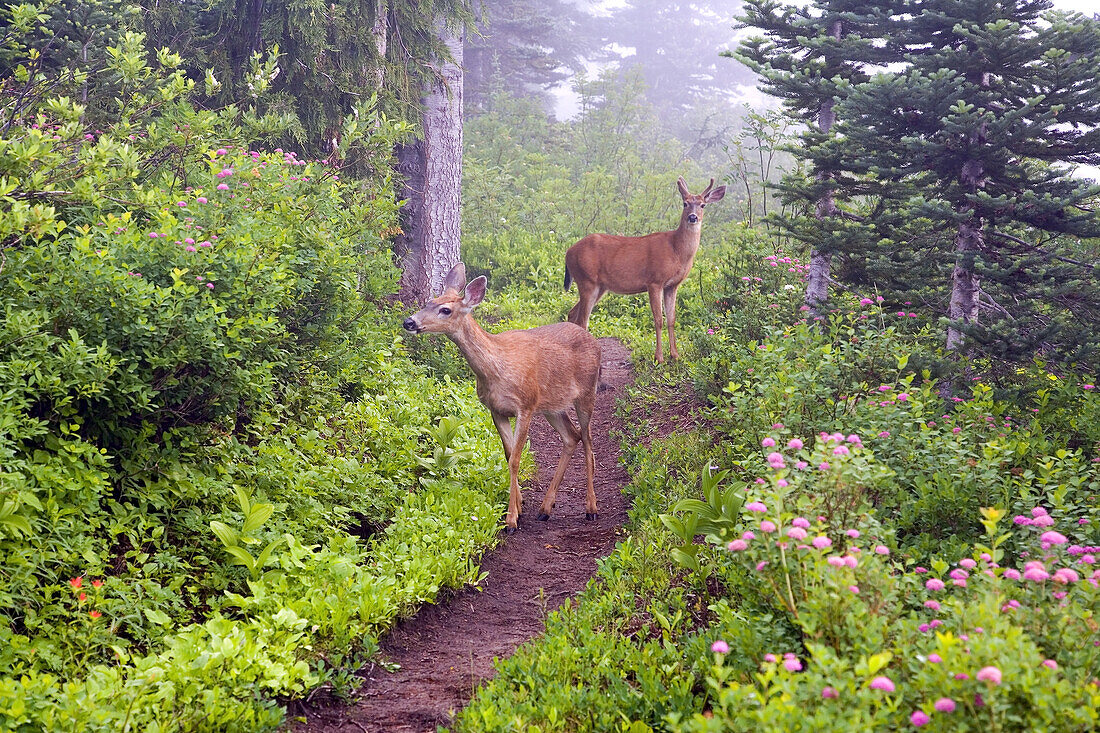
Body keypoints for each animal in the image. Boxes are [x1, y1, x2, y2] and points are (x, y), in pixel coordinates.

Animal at [402, 260, 598, 530]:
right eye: (428, 302)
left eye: (445, 310)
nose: (409, 322)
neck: (496, 369)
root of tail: (593, 340)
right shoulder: (495, 409)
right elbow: (508, 455)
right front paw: (520, 505)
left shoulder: (525, 405)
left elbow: (516, 458)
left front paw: (511, 519)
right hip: (553, 405)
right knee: (572, 437)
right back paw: (545, 508)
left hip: (587, 393)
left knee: (588, 441)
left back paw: (591, 508)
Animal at [563, 174, 726, 363]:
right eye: (685, 203)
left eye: (702, 205)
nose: (693, 217)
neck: (677, 250)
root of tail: (568, 252)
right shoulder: (654, 281)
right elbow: (658, 319)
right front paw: (659, 357)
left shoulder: (672, 285)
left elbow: (671, 319)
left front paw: (675, 355)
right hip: (586, 279)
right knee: (583, 319)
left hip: (599, 286)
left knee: (573, 314)